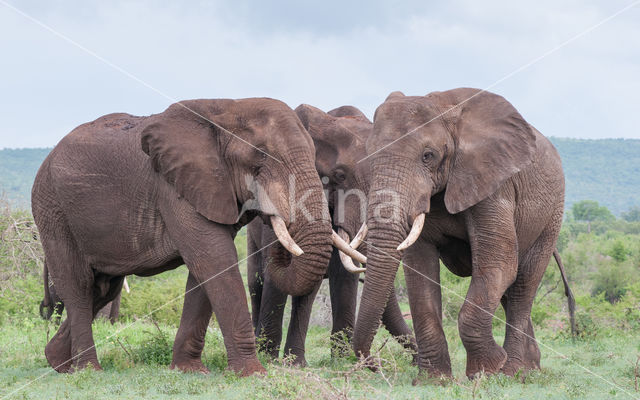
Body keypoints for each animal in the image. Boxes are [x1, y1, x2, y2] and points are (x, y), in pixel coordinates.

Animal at [31, 97, 364, 376]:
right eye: (260, 160)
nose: (277, 225)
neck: (228, 109)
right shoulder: (173, 186)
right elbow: (214, 260)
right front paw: (253, 374)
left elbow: (205, 270)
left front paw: (189, 370)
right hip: (52, 209)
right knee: (78, 285)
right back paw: (88, 370)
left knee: (102, 289)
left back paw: (57, 362)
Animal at [246, 104, 420, 368]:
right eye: (339, 175)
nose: (377, 363)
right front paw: (269, 359)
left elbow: (340, 276)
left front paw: (337, 361)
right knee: (256, 281)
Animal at [352, 88, 568, 382]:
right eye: (370, 156)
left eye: (428, 155)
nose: (375, 365)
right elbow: (420, 271)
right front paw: (433, 381)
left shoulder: (493, 182)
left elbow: (499, 262)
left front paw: (487, 371)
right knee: (507, 291)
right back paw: (531, 368)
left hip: (552, 214)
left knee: (523, 283)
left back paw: (513, 371)